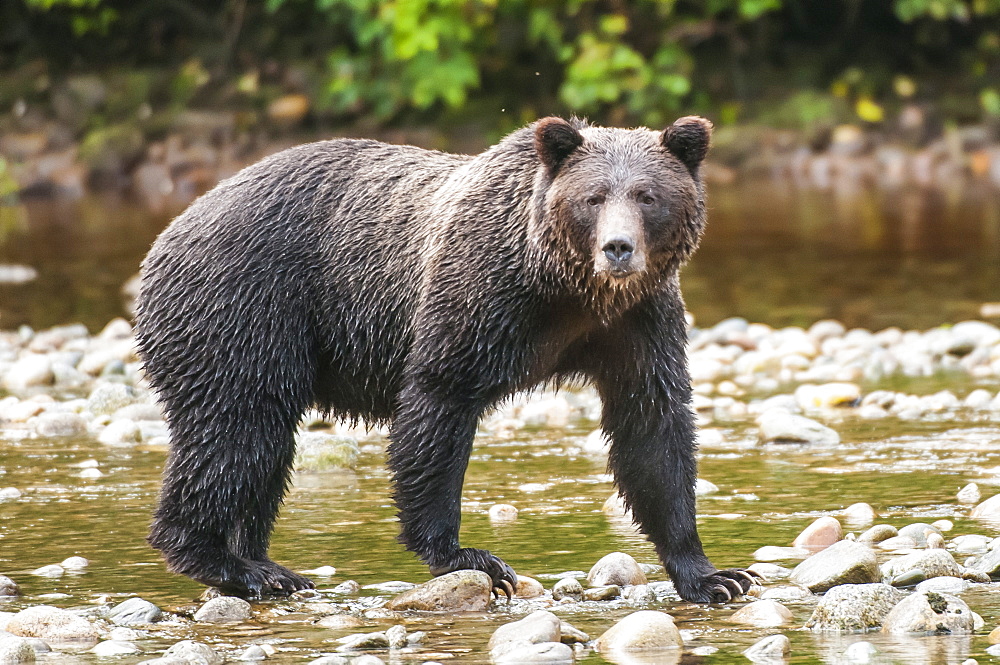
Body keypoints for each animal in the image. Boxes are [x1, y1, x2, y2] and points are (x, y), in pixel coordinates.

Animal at [135, 114, 756, 600]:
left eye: (648, 195)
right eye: (594, 197)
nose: (618, 248)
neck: (567, 289)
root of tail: (168, 233)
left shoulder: (637, 324)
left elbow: (652, 430)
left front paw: (714, 575)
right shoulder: (478, 297)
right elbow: (438, 404)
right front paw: (469, 556)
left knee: (264, 446)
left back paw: (266, 563)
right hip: (243, 310)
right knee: (238, 430)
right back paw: (227, 563)